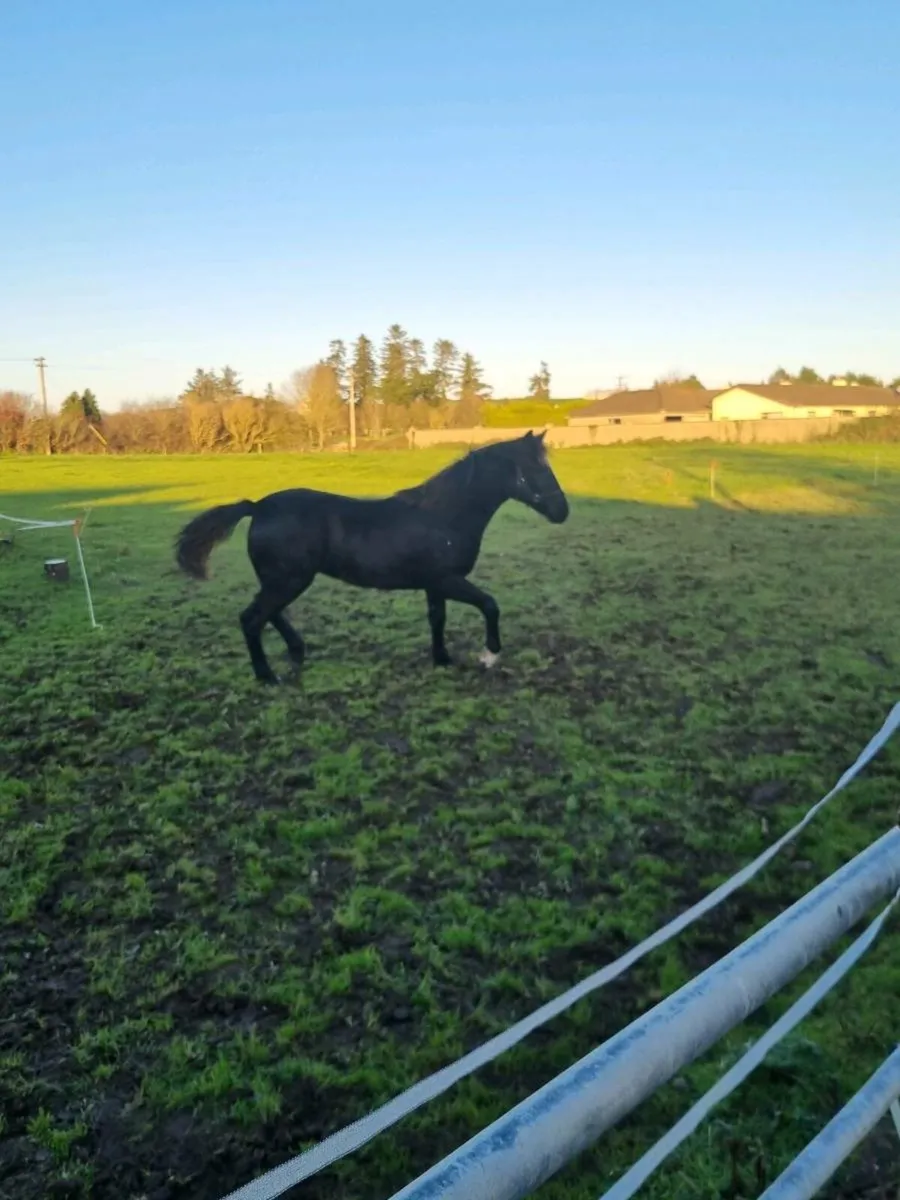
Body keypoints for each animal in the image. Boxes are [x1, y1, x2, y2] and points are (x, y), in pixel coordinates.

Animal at [174, 430, 569, 683]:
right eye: (534, 470)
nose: (562, 511)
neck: (443, 516)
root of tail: (257, 507)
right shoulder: (448, 580)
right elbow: (490, 605)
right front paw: (488, 655)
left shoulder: (434, 584)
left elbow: (437, 619)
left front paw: (442, 659)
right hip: (287, 580)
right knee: (252, 618)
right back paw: (267, 676)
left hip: (282, 580)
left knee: (269, 614)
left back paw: (297, 652)